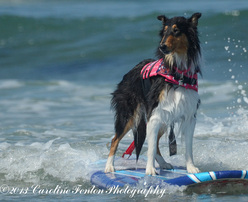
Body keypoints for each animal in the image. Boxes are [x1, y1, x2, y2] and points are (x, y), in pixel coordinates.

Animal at [104, 12, 202, 175]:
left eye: (176, 30)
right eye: (165, 32)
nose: (162, 46)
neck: (177, 75)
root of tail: (130, 71)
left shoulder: (189, 116)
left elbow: (189, 147)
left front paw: (191, 168)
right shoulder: (154, 115)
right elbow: (149, 148)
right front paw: (150, 170)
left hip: (163, 119)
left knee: (154, 143)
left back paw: (163, 163)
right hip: (130, 115)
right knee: (115, 140)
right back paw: (109, 166)